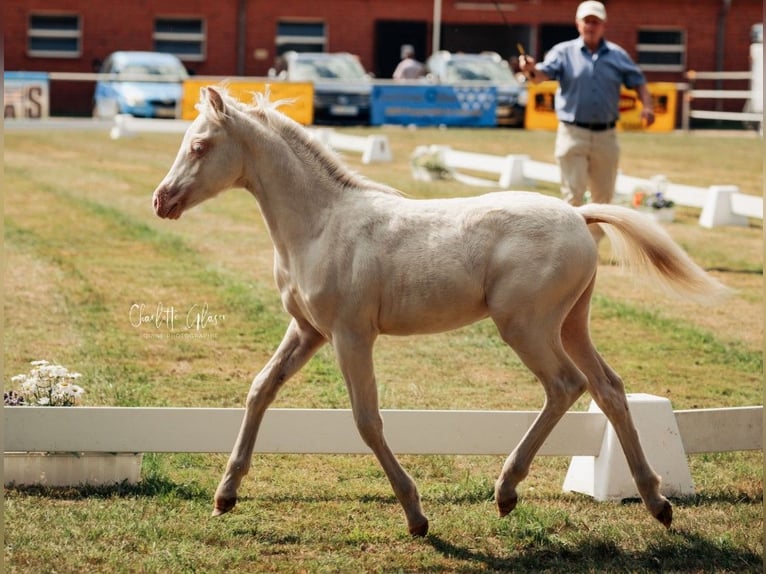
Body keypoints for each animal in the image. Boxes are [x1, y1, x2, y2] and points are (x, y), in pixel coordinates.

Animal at [153, 86, 728, 540]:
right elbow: (260, 390)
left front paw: (416, 515)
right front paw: (225, 495)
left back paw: (507, 491)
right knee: (608, 388)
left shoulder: (350, 334)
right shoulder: (308, 331)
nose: (162, 201)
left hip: (527, 327)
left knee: (566, 385)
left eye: (200, 146)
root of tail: (578, 214)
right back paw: (657, 502)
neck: (320, 225)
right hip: (571, 324)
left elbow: (366, 420)